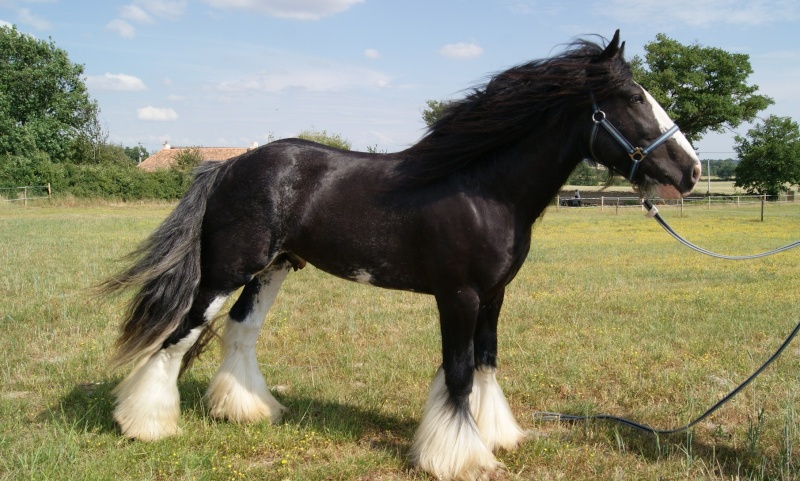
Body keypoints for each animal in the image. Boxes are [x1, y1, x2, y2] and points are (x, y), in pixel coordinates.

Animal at [104, 31, 700, 478]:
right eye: (632, 99)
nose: (691, 170)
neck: (484, 188)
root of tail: (230, 164)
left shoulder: (494, 295)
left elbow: (484, 362)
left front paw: (495, 436)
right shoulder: (458, 295)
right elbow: (458, 373)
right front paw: (459, 458)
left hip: (273, 268)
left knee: (240, 331)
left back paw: (248, 411)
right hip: (227, 270)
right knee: (178, 335)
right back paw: (145, 424)